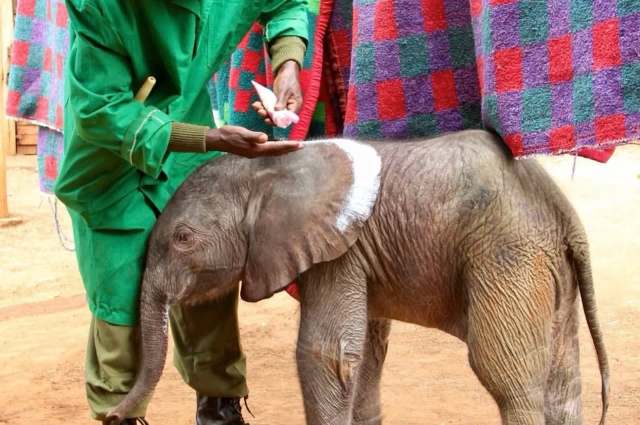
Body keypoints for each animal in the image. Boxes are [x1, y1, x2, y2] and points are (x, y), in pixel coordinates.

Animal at [107, 130, 609, 425]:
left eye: (183, 239)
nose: (110, 416)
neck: (267, 168)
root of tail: (562, 209)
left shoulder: (338, 250)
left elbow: (325, 354)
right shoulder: (354, 254)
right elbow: (364, 351)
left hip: (506, 255)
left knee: (507, 376)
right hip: (546, 265)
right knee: (564, 385)